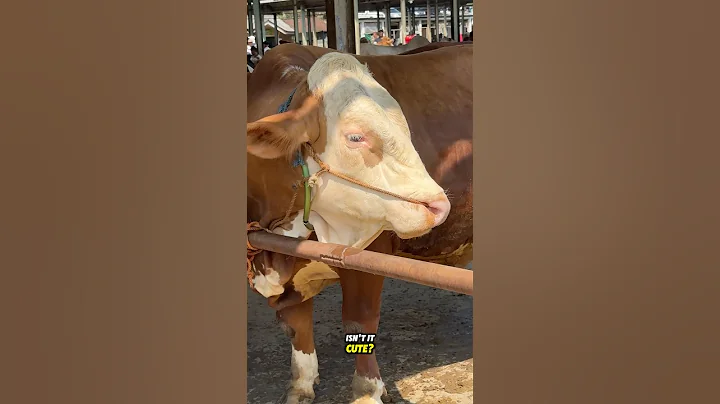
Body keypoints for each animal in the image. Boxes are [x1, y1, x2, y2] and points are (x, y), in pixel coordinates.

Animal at [247, 43, 472, 403]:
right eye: (355, 137)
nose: (439, 204)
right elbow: (296, 321)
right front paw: (301, 384)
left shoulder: (369, 253)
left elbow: (359, 320)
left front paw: (367, 390)